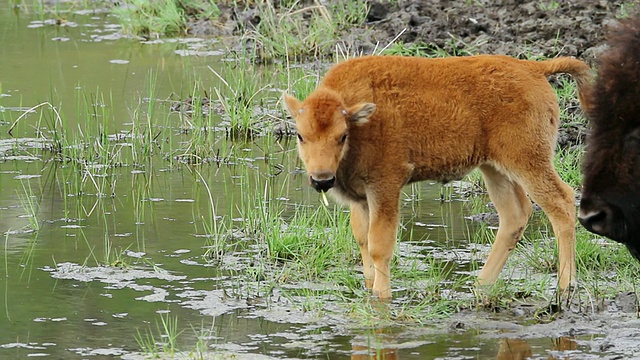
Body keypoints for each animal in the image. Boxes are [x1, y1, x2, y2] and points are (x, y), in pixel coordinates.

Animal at [282, 54, 592, 300]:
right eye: (300, 135)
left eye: (342, 135)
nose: (322, 179)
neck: (361, 118)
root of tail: (533, 68)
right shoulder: (360, 198)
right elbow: (362, 240)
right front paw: (369, 288)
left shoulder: (385, 186)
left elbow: (380, 244)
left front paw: (382, 296)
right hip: (495, 168)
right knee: (515, 215)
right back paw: (481, 285)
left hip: (528, 162)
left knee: (561, 203)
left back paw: (565, 287)